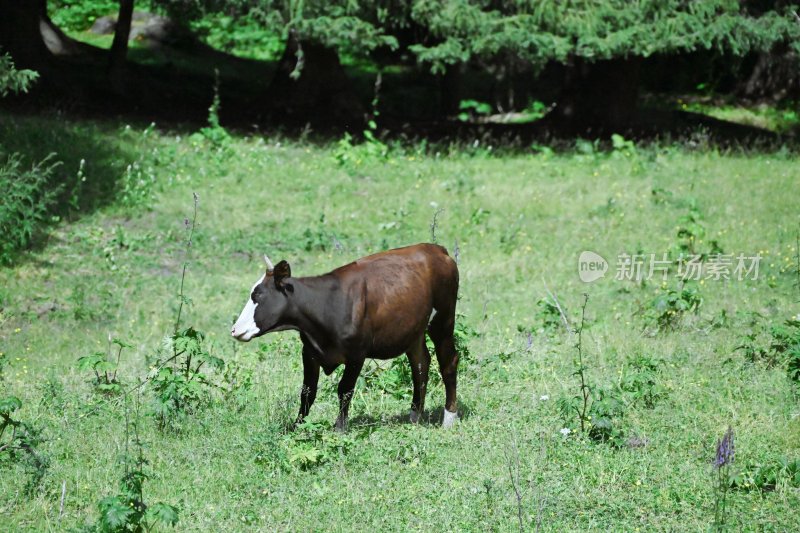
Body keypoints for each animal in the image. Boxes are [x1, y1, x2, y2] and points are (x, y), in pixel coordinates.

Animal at [231, 243, 460, 430]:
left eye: (258, 295)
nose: (234, 329)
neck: (327, 305)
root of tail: (436, 249)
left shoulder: (357, 354)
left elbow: (345, 389)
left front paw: (339, 428)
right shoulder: (309, 352)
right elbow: (307, 392)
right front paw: (297, 426)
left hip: (443, 320)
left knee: (448, 362)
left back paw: (449, 417)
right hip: (414, 330)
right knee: (420, 365)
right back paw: (414, 415)